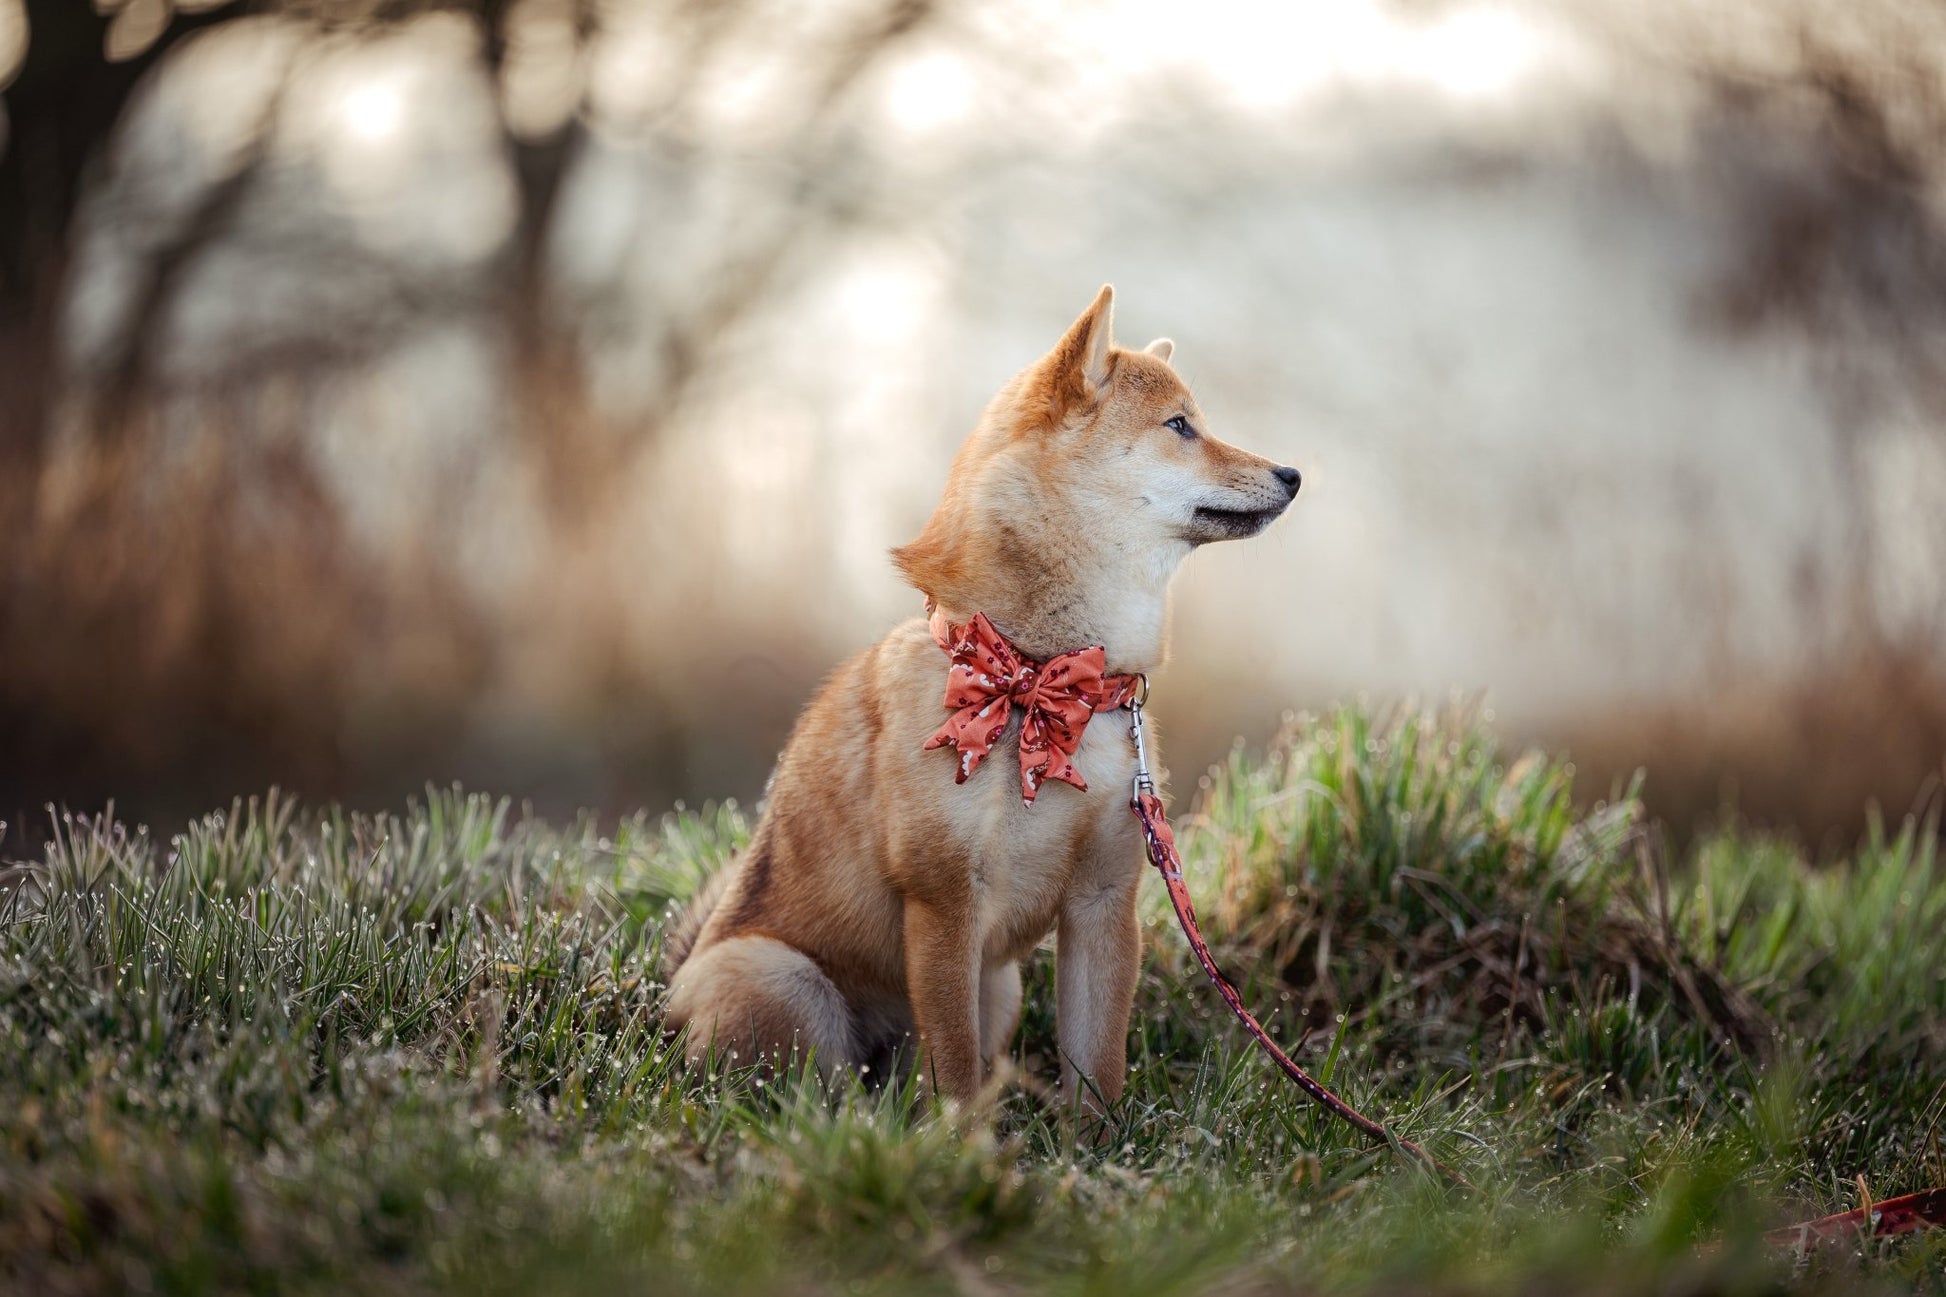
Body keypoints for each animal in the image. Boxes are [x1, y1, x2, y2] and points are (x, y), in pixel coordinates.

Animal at [662, 285, 1300, 1110]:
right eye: (1181, 425)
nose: (1292, 473)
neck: (1038, 677)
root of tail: (669, 990)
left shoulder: (1104, 900)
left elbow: (1098, 1066)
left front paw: (1097, 1141)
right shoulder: (945, 901)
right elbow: (959, 1073)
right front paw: (963, 1142)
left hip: (1000, 986)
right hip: (785, 980)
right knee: (826, 1095)